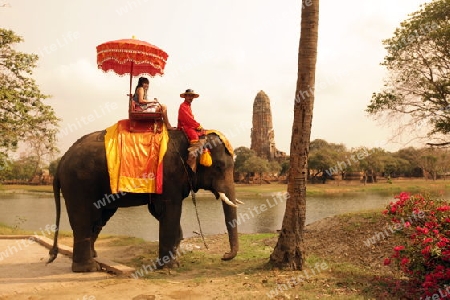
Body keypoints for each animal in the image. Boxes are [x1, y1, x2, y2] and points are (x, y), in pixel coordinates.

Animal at [47, 127, 241, 274]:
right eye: (219, 167)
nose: (224, 255)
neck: (190, 137)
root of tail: (61, 162)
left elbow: (158, 211)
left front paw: (174, 257)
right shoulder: (169, 175)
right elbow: (170, 210)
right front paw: (171, 266)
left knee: (98, 219)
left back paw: (93, 258)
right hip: (79, 184)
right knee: (84, 219)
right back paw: (89, 268)